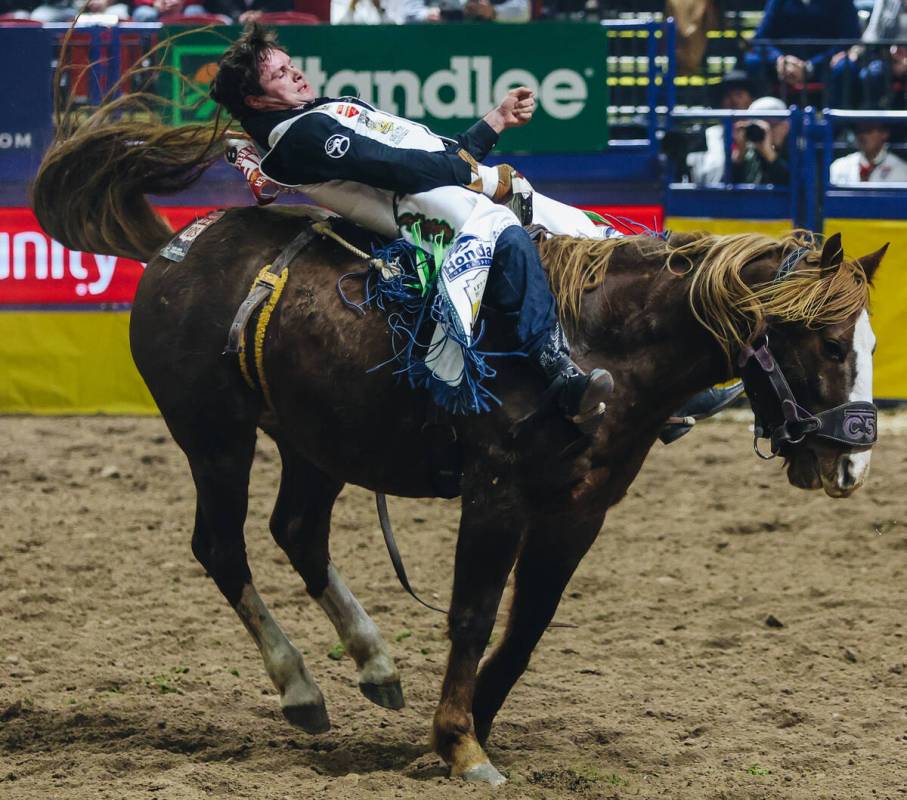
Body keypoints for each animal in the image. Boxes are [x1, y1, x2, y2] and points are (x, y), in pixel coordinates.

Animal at [31, 115, 884, 784]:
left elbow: (526, 625)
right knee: (221, 547)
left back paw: (375, 665)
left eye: (869, 343)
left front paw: (462, 731)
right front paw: (460, 746)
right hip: (214, 436)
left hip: (317, 442)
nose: (852, 458)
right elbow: (473, 615)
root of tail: (181, 243)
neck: (594, 342)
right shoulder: (496, 492)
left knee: (297, 532)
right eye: (830, 343)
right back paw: (300, 686)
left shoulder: (580, 509)